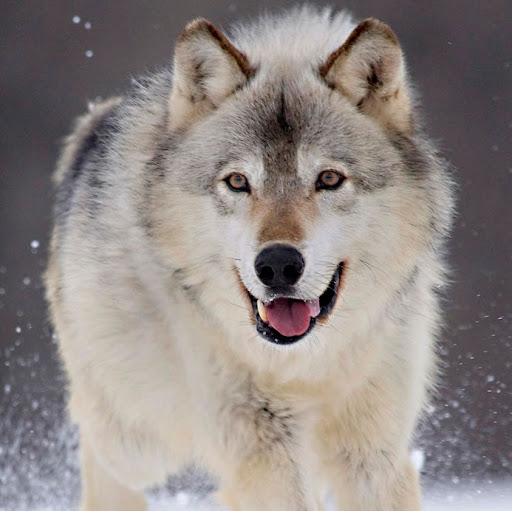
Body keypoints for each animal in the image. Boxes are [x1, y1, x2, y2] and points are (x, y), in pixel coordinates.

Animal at [46, 5, 454, 511]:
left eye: (329, 179)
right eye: (238, 182)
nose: (278, 265)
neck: (305, 365)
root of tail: (92, 126)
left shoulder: (374, 451)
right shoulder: (261, 442)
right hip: (138, 433)